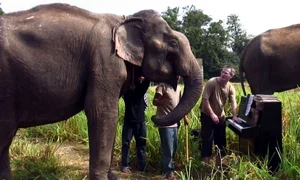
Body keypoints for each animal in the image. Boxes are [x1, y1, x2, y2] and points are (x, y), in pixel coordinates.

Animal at [0, 2, 204, 180]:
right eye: (173, 43)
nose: (154, 117)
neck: (125, 19)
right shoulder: (105, 61)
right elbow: (103, 112)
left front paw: (112, 177)